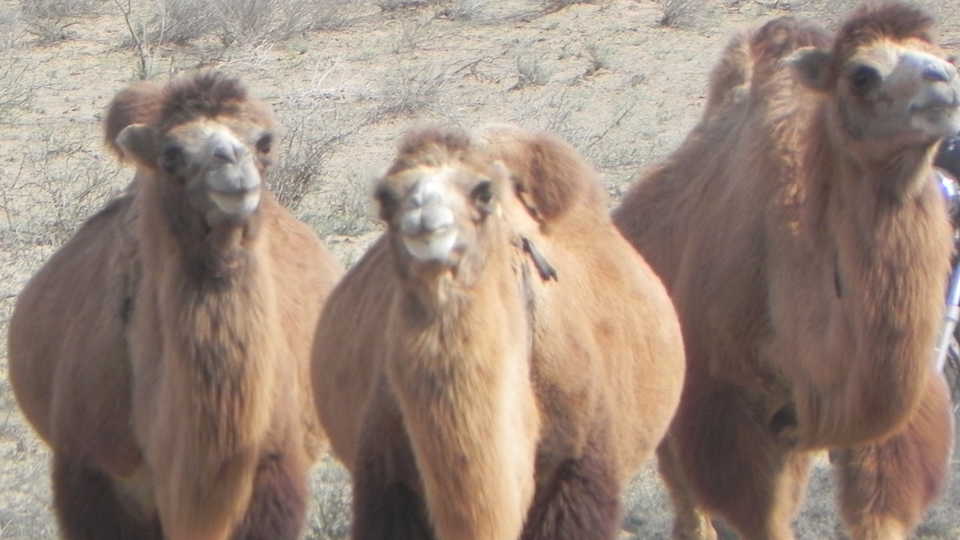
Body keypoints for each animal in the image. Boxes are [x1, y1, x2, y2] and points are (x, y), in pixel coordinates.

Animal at [616, 4, 960, 540]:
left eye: (944, 55)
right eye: (862, 74)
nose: (945, 86)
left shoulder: (885, 425)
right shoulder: (731, 410)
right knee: (681, 487)